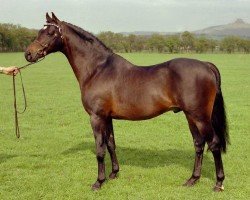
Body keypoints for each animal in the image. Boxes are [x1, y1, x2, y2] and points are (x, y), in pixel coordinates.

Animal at [24, 13, 229, 191]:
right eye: (40, 31)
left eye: (50, 33)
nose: (28, 54)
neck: (97, 69)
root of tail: (206, 65)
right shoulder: (107, 118)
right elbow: (111, 144)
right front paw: (114, 174)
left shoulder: (96, 117)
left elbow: (100, 150)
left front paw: (99, 182)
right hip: (190, 117)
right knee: (198, 144)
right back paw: (193, 179)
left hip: (200, 117)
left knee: (214, 144)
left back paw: (218, 183)